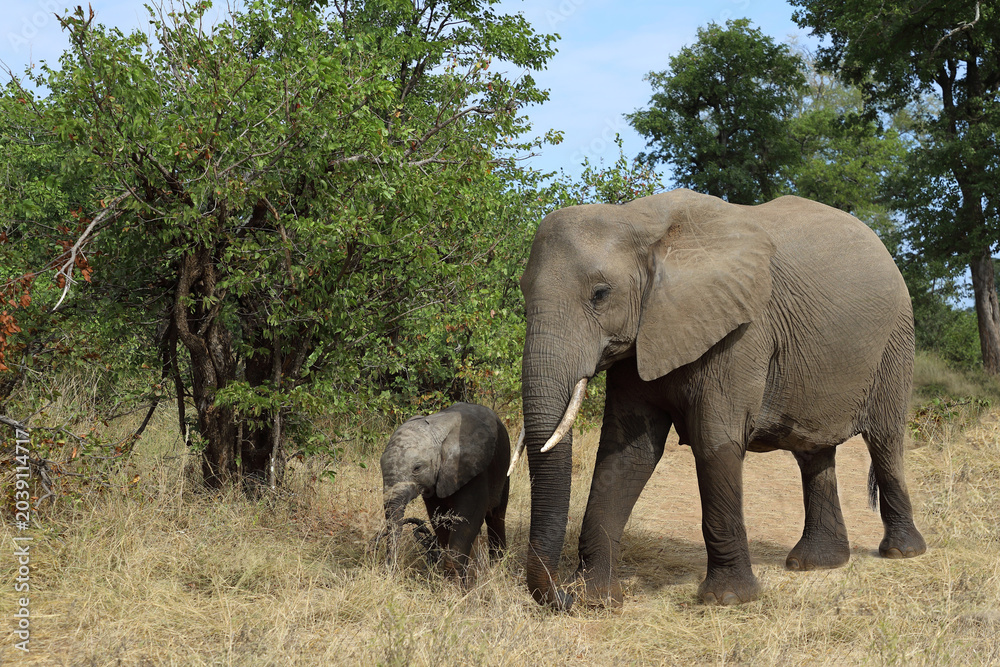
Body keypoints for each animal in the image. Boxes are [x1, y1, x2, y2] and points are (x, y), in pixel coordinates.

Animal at [379, 402, 510, 582]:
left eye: (417, 468)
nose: (390, 575)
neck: (434, 430)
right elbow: (439, 519)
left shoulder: (473, 470)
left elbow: (468, 519)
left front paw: (455, 585)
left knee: (496, 516)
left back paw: (496, 567)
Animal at [518, 188, 926, 610]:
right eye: (522, 294)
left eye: (600, 294)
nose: (563, 595)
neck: (640, 221)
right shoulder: (642, 336)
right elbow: (628, 452)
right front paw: (596, 599)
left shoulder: (741, 332)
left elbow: (715, 441)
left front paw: (727, 599)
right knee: (813, 452)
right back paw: (815, 563)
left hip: (896, 339)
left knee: (884, 440)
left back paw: (902, 552)